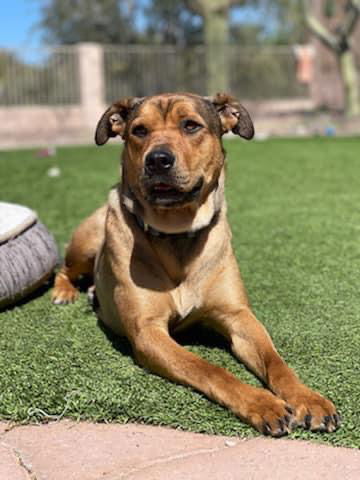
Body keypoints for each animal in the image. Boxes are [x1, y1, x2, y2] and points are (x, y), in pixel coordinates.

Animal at [51, 92, 340, 436]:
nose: (158, 159)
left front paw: (308, 398)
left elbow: (276, 362)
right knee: (63, 268)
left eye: (191, 125)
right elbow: (209, 369)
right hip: (87, 241)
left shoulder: (239, 317)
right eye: (139, 130)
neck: (176, 233)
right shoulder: (148, 333)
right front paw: (262, 403)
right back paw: (64, 292)